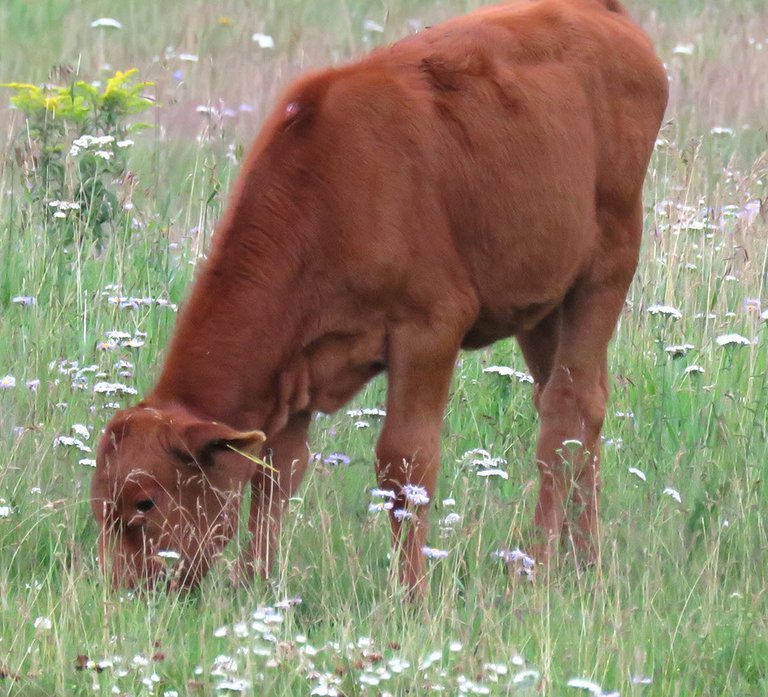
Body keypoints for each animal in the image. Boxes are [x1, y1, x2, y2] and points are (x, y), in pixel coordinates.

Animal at [88, 0, 664, 592]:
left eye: (145, 502)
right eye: (99, 504)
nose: (120, 589)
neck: (327, 192)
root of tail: (596, 11)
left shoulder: (429, 327)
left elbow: (405, 461)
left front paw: (410, 592)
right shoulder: (296, 366)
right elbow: (277, 472)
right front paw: (257, 587)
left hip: (609, 261)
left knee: (568, 412)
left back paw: (541, 565)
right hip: (542, 301)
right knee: (577, 402)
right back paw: (584, 561)